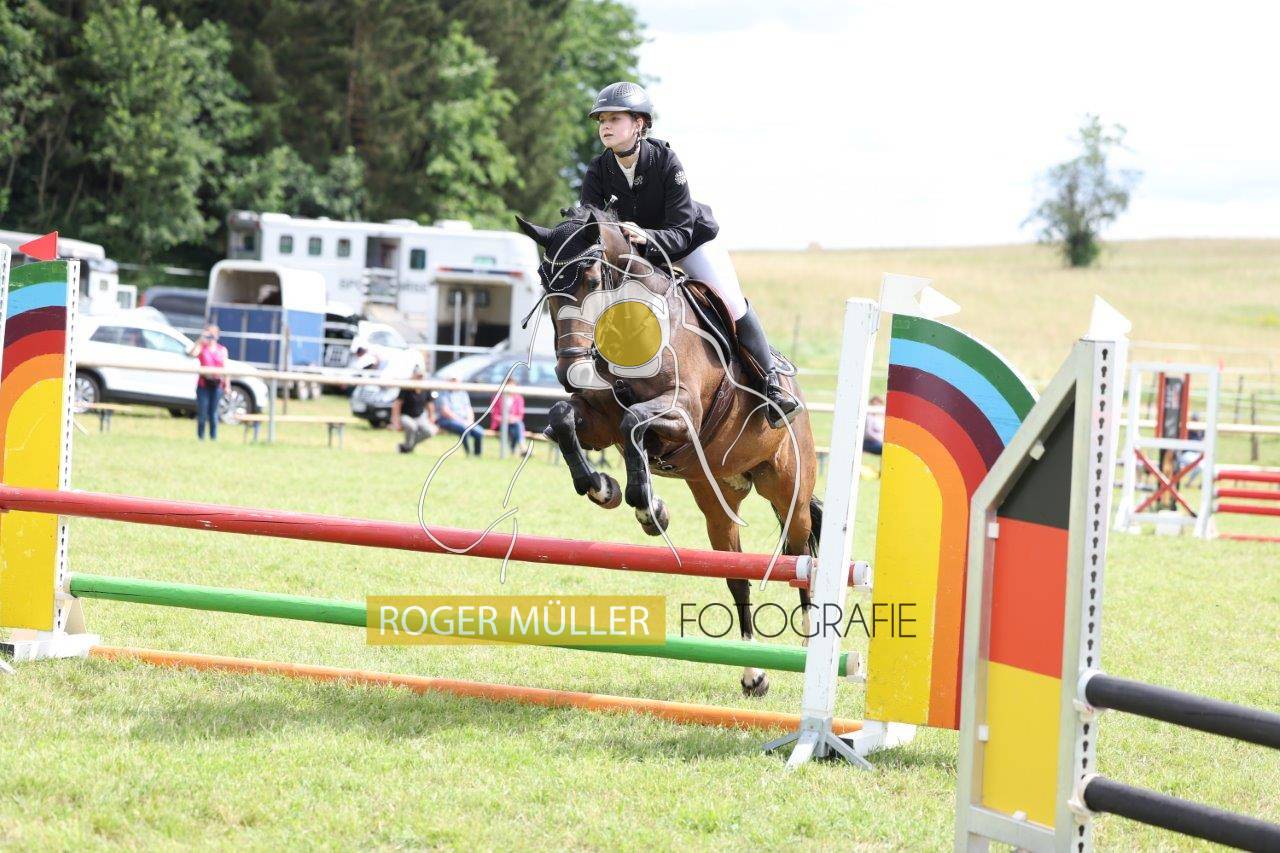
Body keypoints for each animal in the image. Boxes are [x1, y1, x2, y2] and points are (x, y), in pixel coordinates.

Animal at [515, 206, 821, 697]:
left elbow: (633, 424)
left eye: (591, 278)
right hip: (717, 500)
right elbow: (566, 418)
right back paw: (753, 674)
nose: (566, 368)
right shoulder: (597, 419)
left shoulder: (682, 414)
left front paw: (646, 507)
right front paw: (606, 489)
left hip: (789, 489)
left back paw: (811, 647)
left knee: (801, 558)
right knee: (736, 576)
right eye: (546, 282)